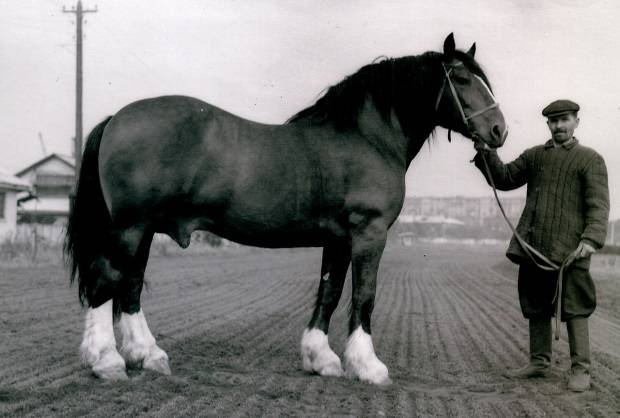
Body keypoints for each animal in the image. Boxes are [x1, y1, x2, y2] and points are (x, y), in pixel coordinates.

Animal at [65, 33, 506, 386]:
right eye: (461, 79)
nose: (499, 130)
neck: (365, 137)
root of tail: (116, 119)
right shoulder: (369, 233)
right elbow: (364, 294)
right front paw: (368, 366)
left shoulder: (338, 239)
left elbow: (329, 292)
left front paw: (321, 359)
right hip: (129, 228)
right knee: (106, 283)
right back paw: (107, 362)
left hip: (142, 231)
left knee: (130, 287)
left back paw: (148, 355)